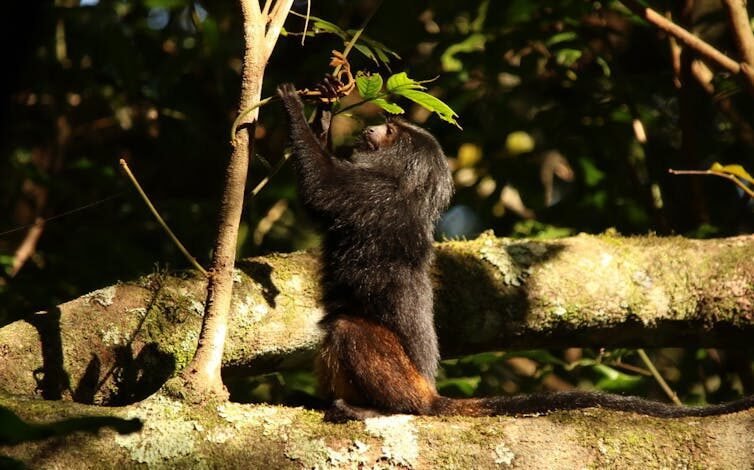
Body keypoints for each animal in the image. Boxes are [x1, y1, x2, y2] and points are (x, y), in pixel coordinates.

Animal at [276, 82, 752, 424]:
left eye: (391, 131)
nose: (374, 127)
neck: (406, 187)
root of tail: (428, 390)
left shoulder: (373, 196)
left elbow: (319, 190)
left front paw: (294, 110)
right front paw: (322, 113)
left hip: (404, 379)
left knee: (347, 329)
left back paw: (382, 408)